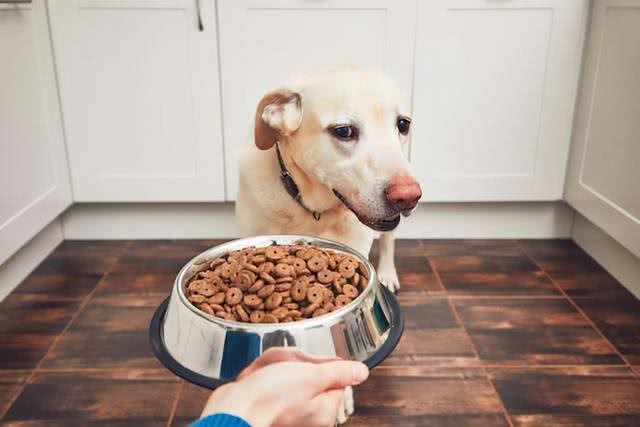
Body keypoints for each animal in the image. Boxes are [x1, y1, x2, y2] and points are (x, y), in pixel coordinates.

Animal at [235, 67, 420, 424]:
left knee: (389, 242)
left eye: (402, 124)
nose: (409, 196)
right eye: (344, 131)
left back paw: (388, 273)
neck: (310, 208)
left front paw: (340, 394)